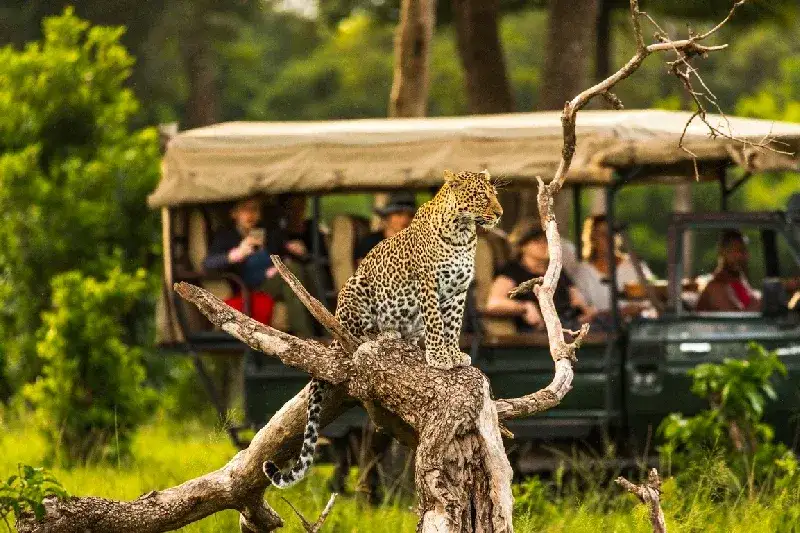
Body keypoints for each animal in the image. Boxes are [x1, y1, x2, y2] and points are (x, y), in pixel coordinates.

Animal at [264, 169, 503, 488]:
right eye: (480, 196)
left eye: (495, 195)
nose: (500, 213)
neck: (462, 234)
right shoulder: (428, 284)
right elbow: (436, 323)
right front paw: (440, 357)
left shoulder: (458, 291)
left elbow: (452, 325)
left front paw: (454, 355)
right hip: (355, 287)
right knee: (355, 334)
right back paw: (381, 335)